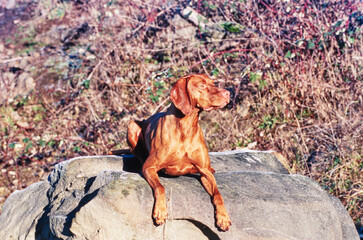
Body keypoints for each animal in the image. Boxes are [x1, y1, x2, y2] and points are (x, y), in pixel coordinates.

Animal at [126, 73, 232, 231]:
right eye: (202, 86)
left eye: (213, 83)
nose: (227, 93)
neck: (186, 126)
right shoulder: (149, 167)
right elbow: (160, 187)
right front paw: (160, 211)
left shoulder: (204, 172)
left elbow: (218, 194)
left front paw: (223, 217)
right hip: (132, 125)